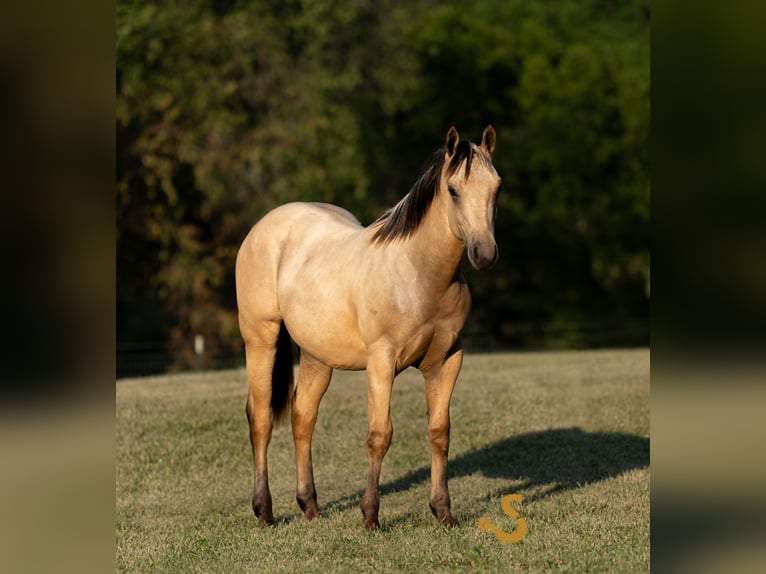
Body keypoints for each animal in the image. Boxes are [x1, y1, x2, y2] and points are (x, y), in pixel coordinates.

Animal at [235, 125, 501, 529]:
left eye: (496, 188)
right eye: (454, 190)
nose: (483, 254)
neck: (418, 273)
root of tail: (265, 226)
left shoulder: (447, 361)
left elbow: (439, 433)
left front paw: (444, 512)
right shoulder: (381, 362)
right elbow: (380, 435)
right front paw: (370, 517)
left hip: (316, 355)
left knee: (303, 417)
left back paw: (310, 507)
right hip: (260, 339)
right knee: (262, 417)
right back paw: (264, 511)